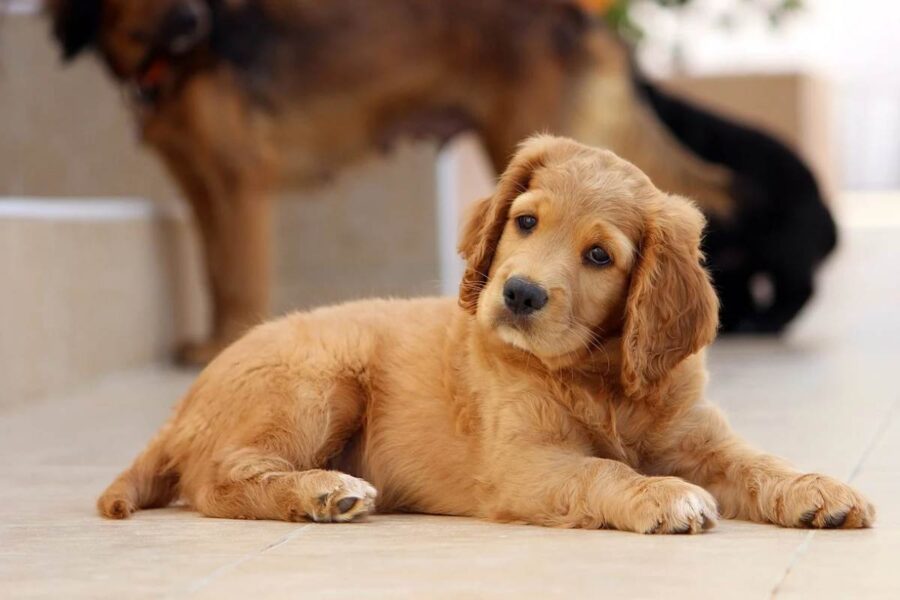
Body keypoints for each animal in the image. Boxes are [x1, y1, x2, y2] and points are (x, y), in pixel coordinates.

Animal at [44, 0, 740, 364]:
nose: (194, 20)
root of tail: (584, 16)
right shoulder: (200, 185)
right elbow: (215, 273)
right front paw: (216, 338)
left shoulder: (239, 180)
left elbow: (238, 275)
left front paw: (226, 341)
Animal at [96, 137, 872, 536]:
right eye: (526, 221)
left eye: (600, 256)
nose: (519, 294)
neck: (599, 376)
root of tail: (181, 411)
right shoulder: (524, 463)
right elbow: (604, 471)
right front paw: (661, 497)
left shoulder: (699, 439)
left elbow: (758, 463)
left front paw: (818, 489)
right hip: (318, 381)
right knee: (219, 479)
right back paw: (322, 491)